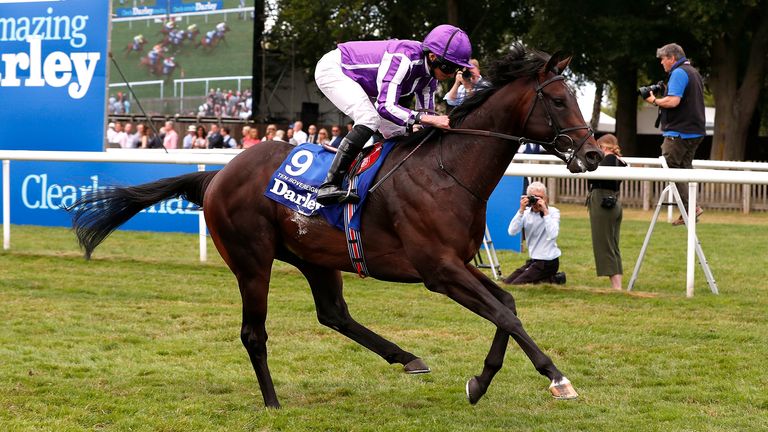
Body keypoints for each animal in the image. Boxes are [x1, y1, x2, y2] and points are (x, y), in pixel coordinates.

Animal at [69, 44, 604, 408]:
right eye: (559, 100)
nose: (596, 155)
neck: (447, 170)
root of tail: (217, 174)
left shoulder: (457, 263)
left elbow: (506, 305)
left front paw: (480, 381)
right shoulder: (439, 271)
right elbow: (505, 315)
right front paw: (556, 377)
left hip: (315, 257)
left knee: (334, 314)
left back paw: (406, 357)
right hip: (251, 262)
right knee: (253, 333)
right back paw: (273, 401)